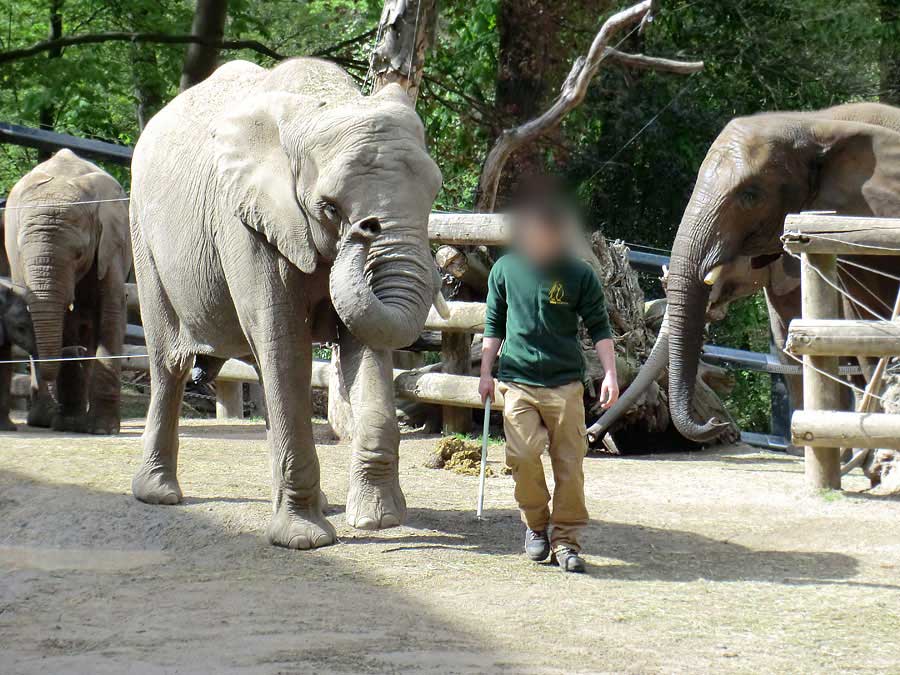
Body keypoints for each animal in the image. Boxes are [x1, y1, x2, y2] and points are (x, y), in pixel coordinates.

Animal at [130, 58, 442, 548]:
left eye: (434, 195)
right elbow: (286, 344)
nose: (367, 228)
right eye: (329, 207)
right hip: (143, 233)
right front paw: (306, 540)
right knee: (170, 364)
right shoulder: (245, 221)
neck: (322, 101)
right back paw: (159, 494)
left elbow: (365, 345)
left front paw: (378, 521)